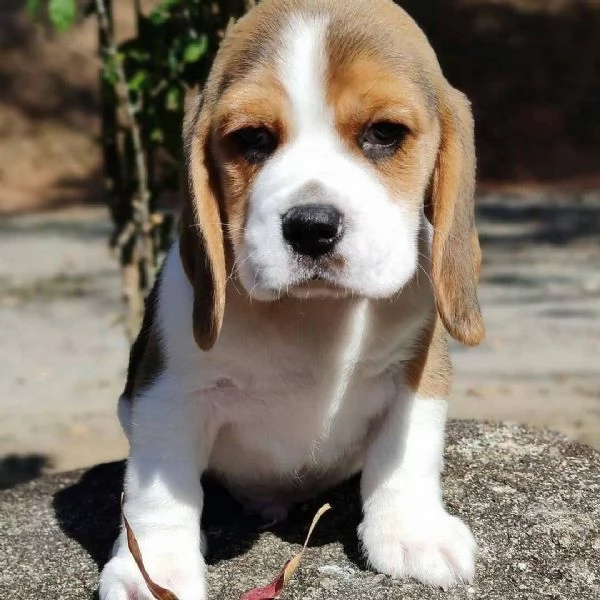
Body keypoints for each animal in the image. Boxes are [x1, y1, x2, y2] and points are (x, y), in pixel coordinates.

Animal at [98, 0, 482, 596]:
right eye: (253, 138)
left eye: (384, 133)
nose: (311, 227)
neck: (314, 316)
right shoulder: (169, 394)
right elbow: (159, 489)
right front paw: (153, 569)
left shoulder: (417, 371)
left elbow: (407, 455)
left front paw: (412, 533)